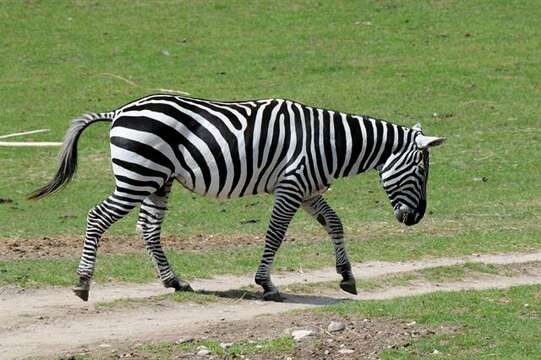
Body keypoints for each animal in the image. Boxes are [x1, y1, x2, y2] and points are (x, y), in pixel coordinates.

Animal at [27, 94, 446, 302]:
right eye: (421, 171)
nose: (417, 218)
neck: (327, 143)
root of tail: (120, 110)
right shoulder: (291, 185)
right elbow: (275, 234)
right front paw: (267, 285)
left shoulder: (308, 190)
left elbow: (335, 223)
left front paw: (347, 277)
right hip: (137, 176)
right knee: (97, 217)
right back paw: (83, 283)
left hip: (157, 180)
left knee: (148, 228)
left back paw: (174, 281)